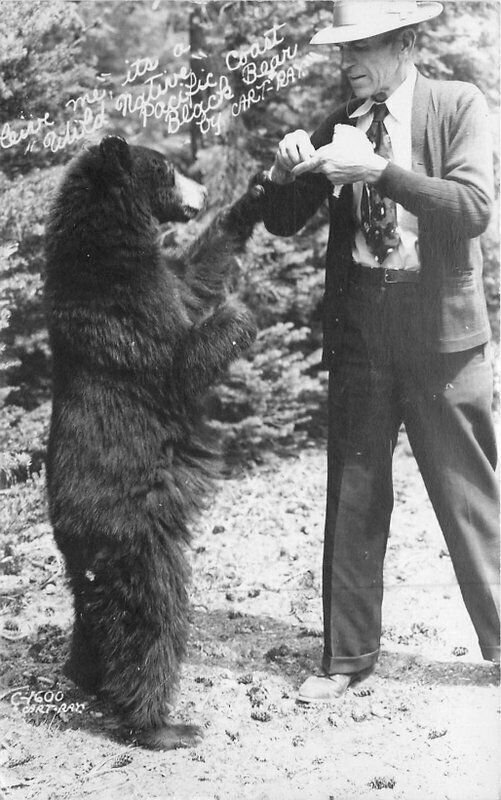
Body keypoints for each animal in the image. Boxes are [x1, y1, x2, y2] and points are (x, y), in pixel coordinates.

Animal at [44, 136, 262, 752]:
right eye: (165, 168)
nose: (204, 190)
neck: (107, 245)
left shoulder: (161, 276)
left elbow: (196, 271)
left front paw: (251, 200)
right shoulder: (128, 313)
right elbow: (179, 360)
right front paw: (240, 310)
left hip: (95, 564)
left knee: (94, 617)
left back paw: (84, 677)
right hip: (137, 540)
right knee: (150, 620)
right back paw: (162, 724)